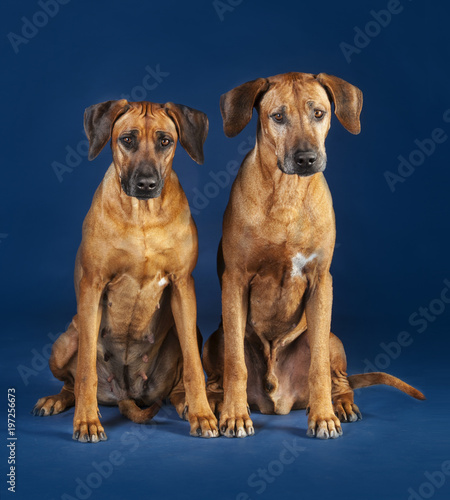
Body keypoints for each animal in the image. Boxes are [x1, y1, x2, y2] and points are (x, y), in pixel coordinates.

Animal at [33, 100, 220, 442]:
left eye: (165, 141)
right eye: (128, 140)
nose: (146, 184)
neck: (142, 214)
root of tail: (125, 392)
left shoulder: (183, 285)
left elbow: (193, 366)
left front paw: (202, 413)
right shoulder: (93, 286)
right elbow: (85, 371)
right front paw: (86, 421)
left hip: (190, 330)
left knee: (175, 383)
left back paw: (185, 403)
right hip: (65, 341)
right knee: (70, 381)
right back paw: (57, 400)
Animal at [204, 72, 426, 440]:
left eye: (319, 113)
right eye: (278, 116)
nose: (306, 158)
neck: (287, 192)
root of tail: (277, 398)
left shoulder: (321, 282)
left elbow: (318, 366)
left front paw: (323, 416)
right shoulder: (234, 280)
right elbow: (235, 363)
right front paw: (234, 414)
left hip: (334, 340)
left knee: (338, 378)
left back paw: (341, 404)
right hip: (213, 339)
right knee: (218, 373)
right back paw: (216, 402)